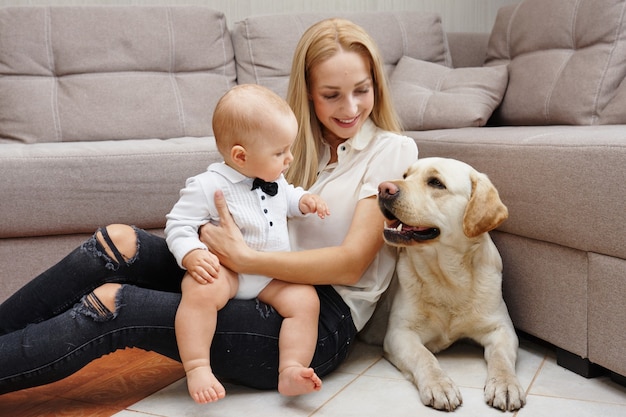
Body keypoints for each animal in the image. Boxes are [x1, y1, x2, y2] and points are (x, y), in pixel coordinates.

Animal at [378, 158, 524, 412]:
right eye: (405, 175)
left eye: (436, 183)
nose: (383, 188)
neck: (448, 277)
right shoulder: (400, 333)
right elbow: (424, 356)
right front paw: (439, 385)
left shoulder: (502, 329)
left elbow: (501, 359)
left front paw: (505, 384)